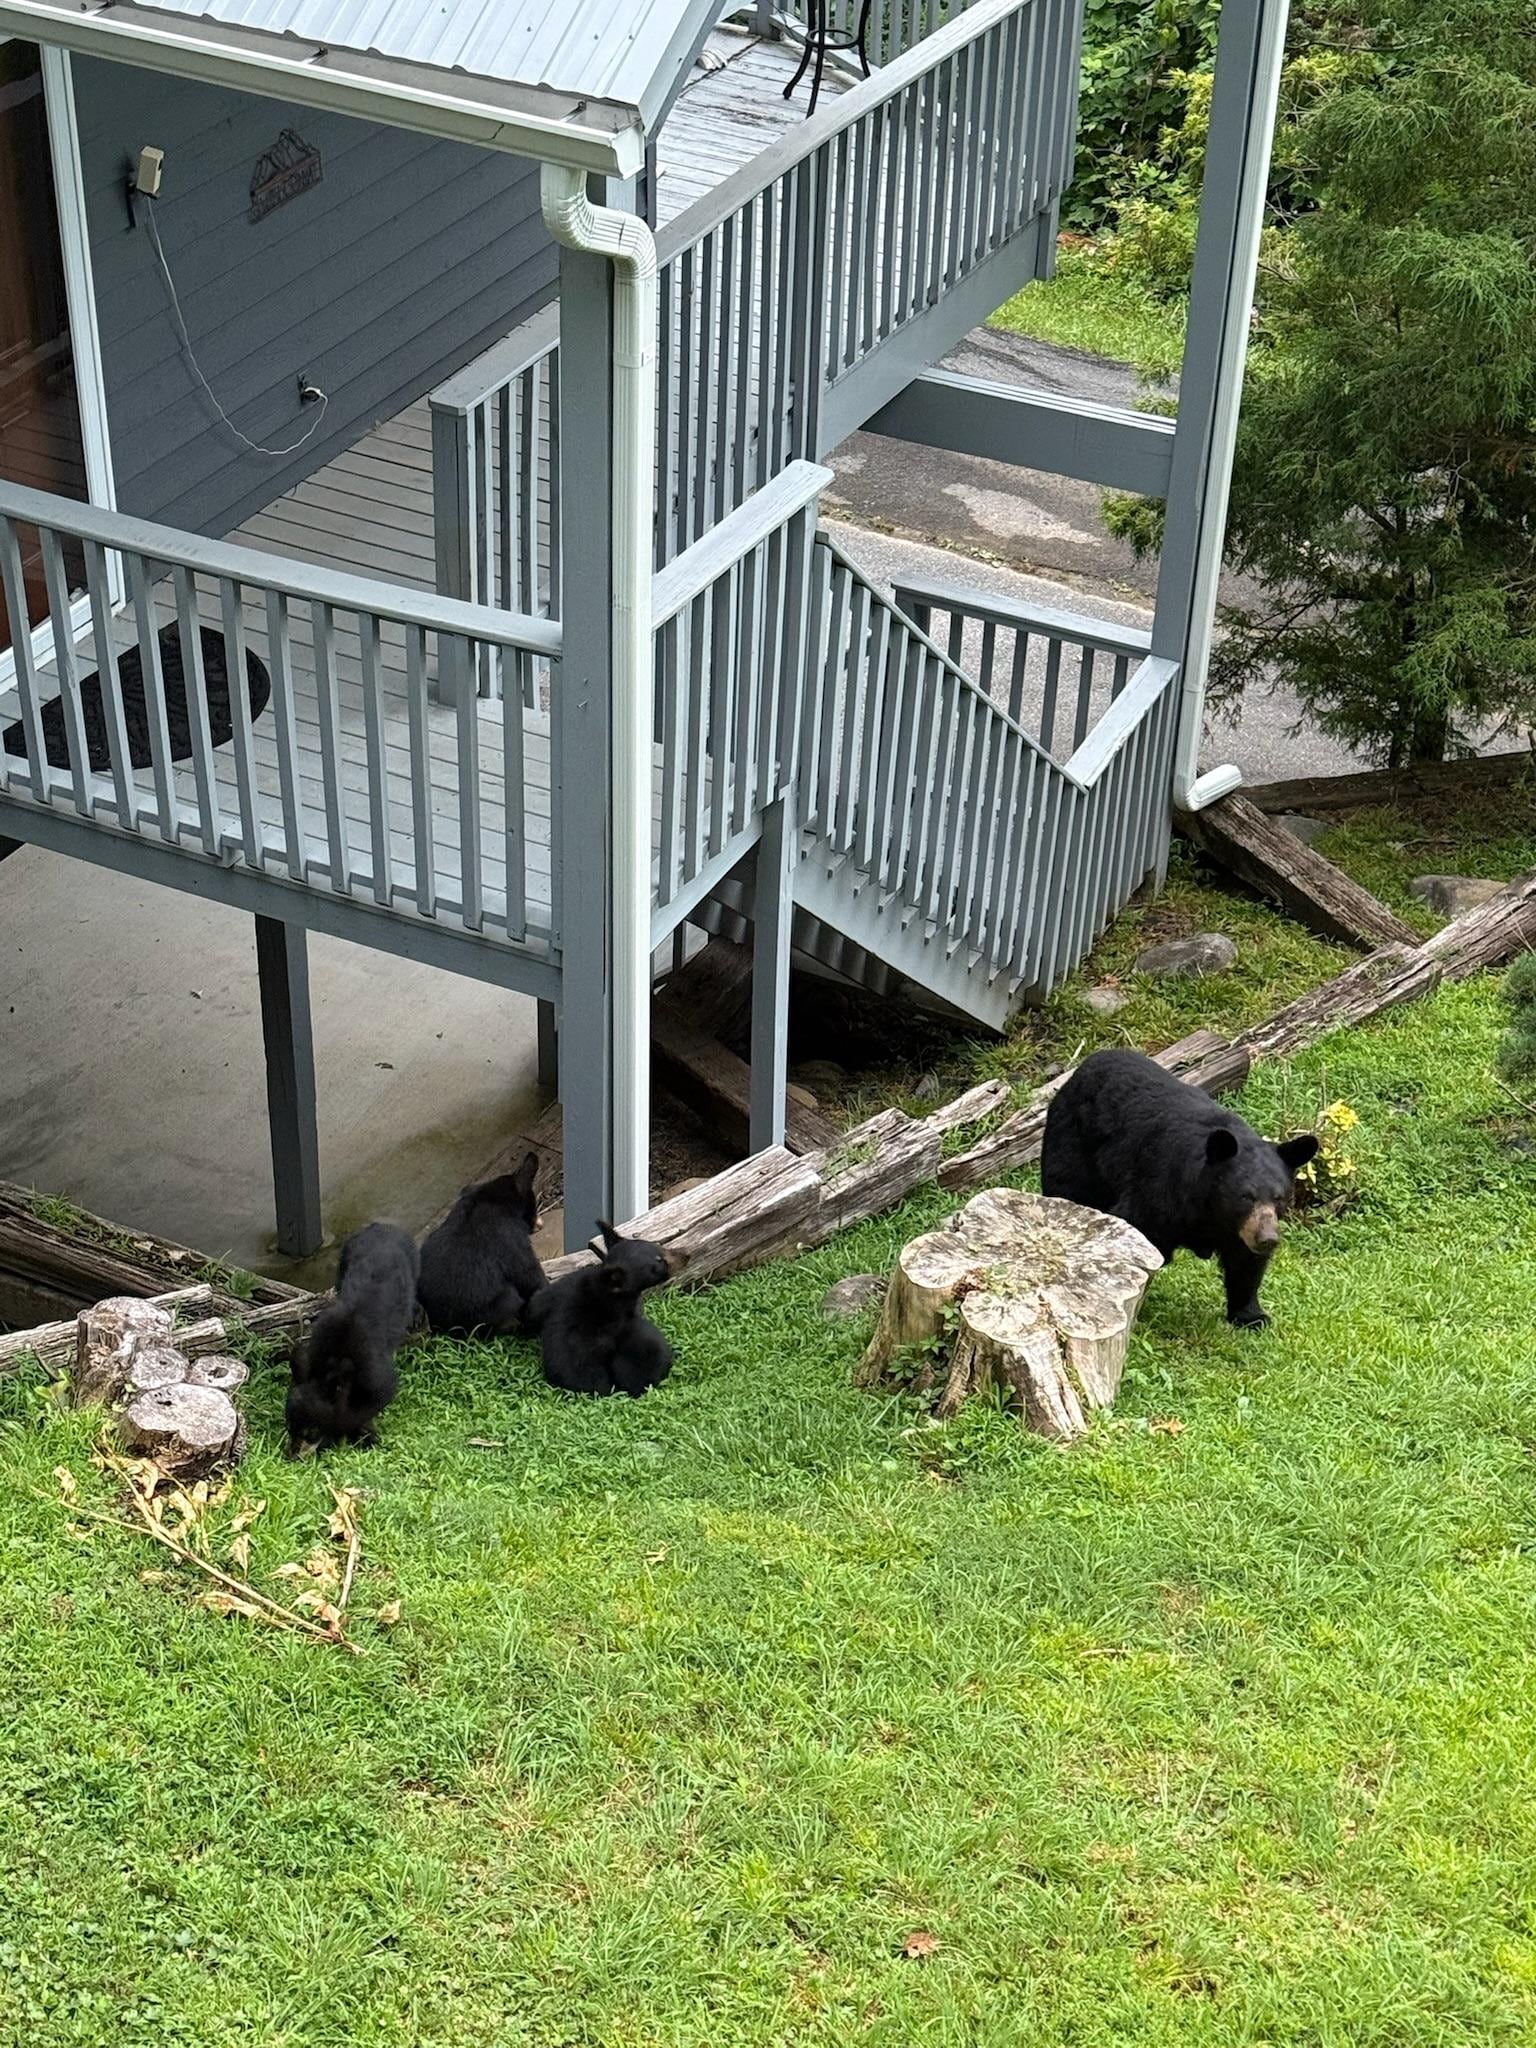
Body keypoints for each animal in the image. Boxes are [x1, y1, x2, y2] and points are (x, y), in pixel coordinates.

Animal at [1040, 1049, 1319, 1328]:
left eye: (1280, 1198)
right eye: (1245, 1196)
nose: (1268, 1239)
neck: (1210, 1212)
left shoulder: (1240, 1230)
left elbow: (1245, 1264)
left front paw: (1252, 1316)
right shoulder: (1159, 1192)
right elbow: (1139, 1234)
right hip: (1073, 1150)